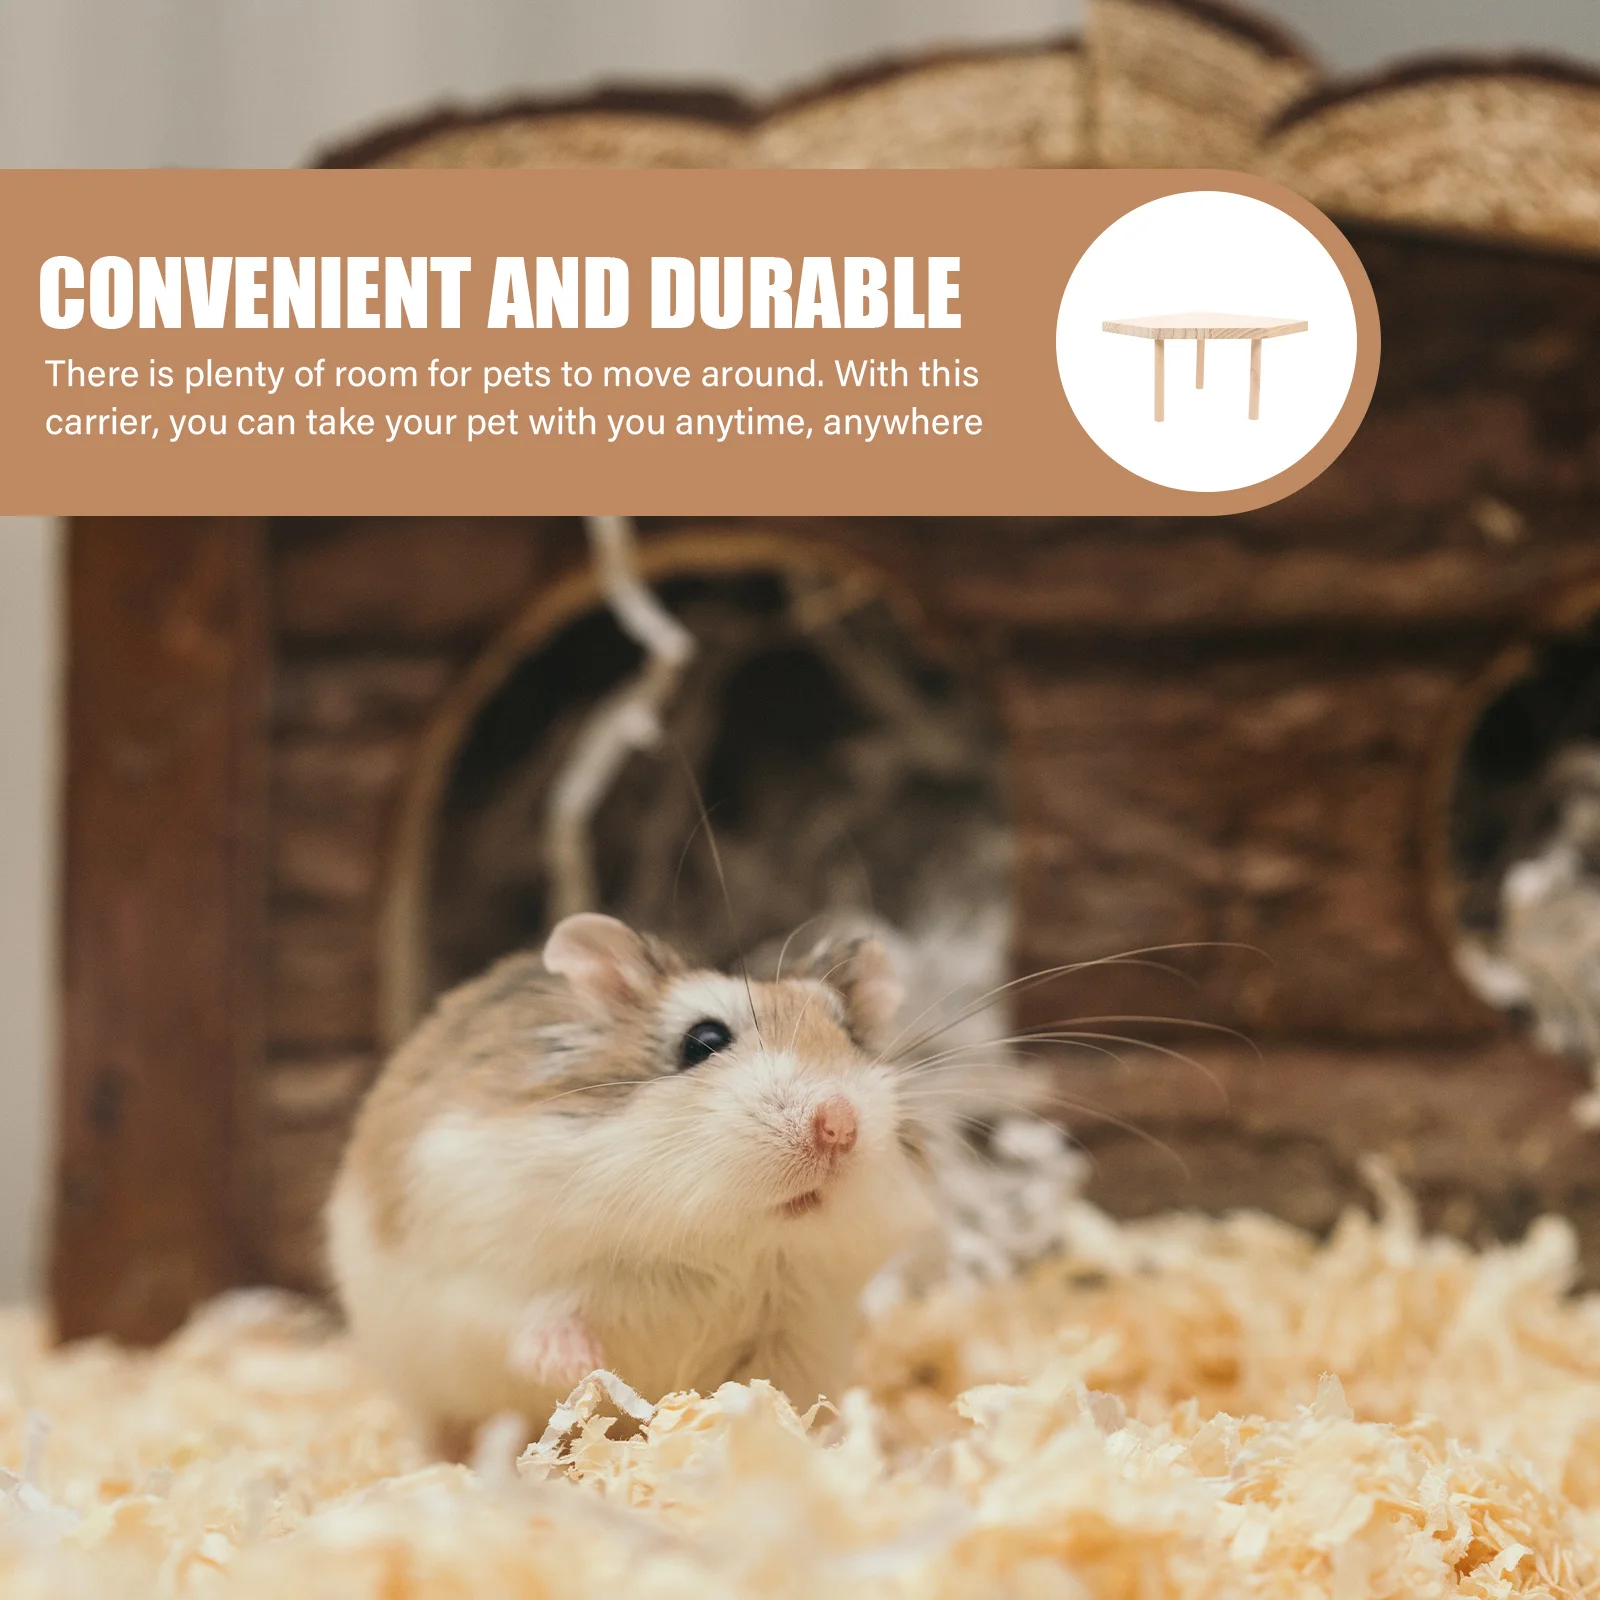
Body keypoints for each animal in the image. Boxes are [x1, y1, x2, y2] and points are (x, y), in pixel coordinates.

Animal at [325, 912, 949, 1456]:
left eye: (851, 1037)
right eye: (703, 1040)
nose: (839, 1124)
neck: (718, 1244)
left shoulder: (798, 1334)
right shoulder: (483, 1271)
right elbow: (530, 1318)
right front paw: (577, 1367)